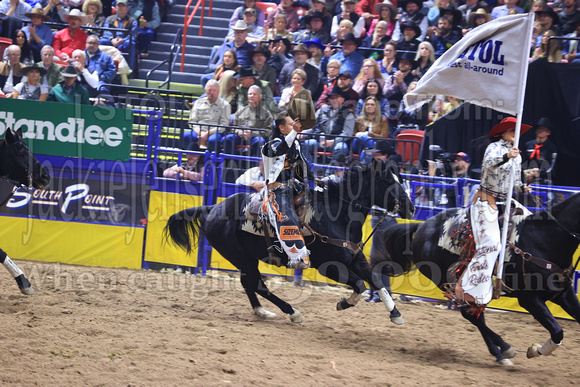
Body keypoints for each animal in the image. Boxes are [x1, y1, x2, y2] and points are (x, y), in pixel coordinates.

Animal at [165, 161, 414, 324]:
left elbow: (375, 280)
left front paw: (395, 314)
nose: (411, 208)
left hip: (246, 258)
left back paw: (262, 311)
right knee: (257, 284)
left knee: (249, 284)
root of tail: (213, 208)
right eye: (388, 182)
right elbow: (360, 285)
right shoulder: (329, 267)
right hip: (240, 256)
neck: (336, 215)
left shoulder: (355, 259)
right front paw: (345, 302)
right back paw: (292, 312)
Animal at [372, 194, 580, 366]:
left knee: (476, 316)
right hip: (445, 280)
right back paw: (505, 349)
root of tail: (422, 226)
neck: (544, 239)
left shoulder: (563, 293)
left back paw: (500, 353)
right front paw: (536, 350)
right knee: (472, 316)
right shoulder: (529, 300)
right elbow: (557, 331)